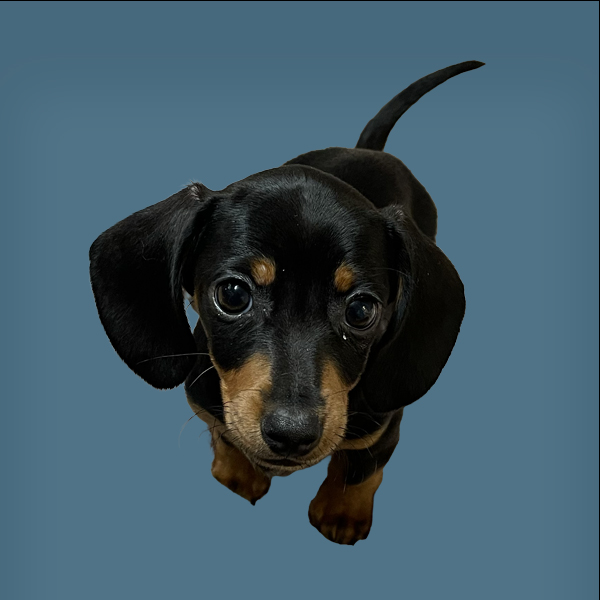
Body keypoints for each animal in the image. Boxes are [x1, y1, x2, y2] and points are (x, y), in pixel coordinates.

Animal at [89, 61, 483, 545]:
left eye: (362, 310)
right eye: (233, 295)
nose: (292, 434)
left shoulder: (383, 423)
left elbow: (363, 468)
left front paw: (342, 511)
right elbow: (225, 436)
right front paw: (238, 473)